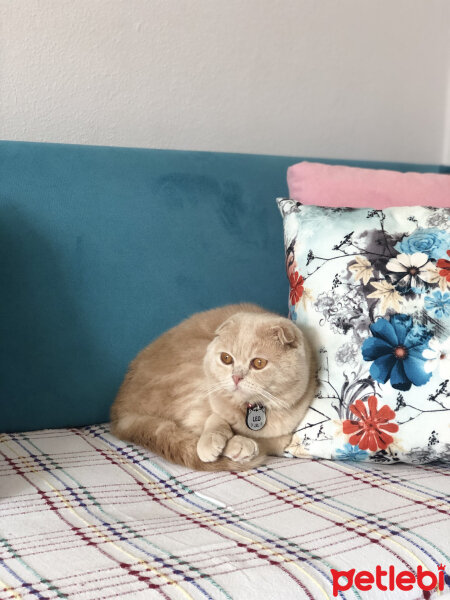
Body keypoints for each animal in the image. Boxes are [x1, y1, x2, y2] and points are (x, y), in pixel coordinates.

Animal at [110, 304, 314, 468]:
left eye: (259, 363)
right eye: (226, 358)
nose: (236, 377)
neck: (248, 410)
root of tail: (121, 413)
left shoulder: (283, 432)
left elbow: (271, 440)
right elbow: (215, 420)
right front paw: (218, 442)